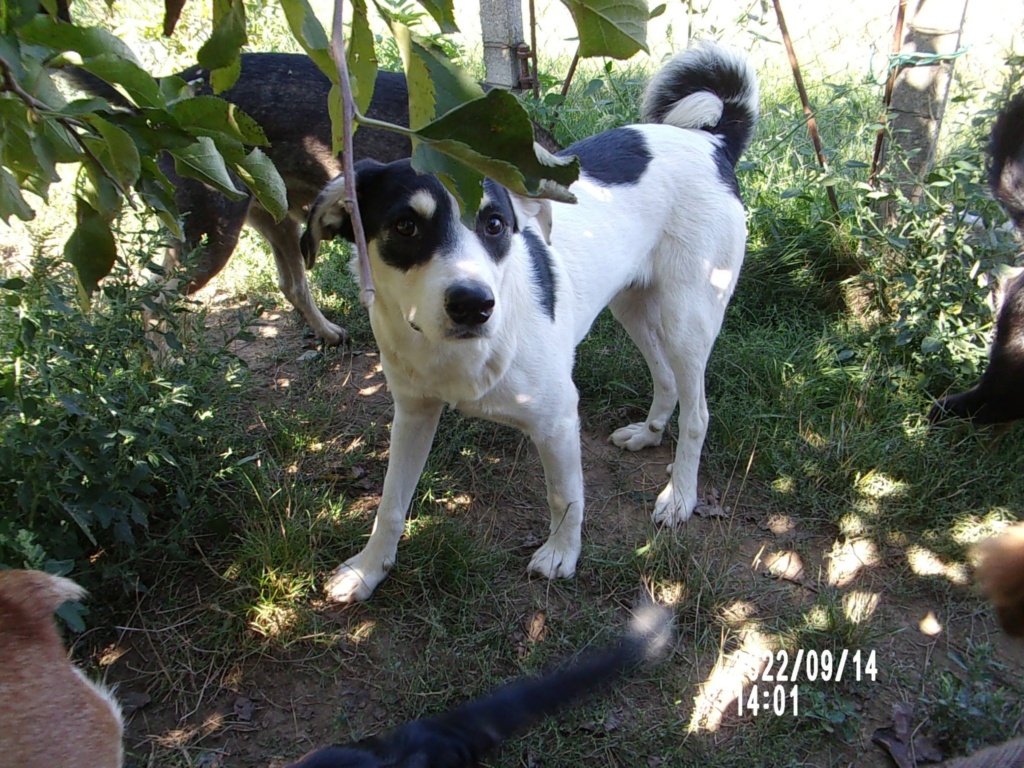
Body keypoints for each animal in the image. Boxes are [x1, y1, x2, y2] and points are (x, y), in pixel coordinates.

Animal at [64, 51, 561, 346]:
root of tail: (158, 96)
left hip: (278, 221)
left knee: (292, 285)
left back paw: (327, 332)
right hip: (210, 236)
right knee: (153, 303)